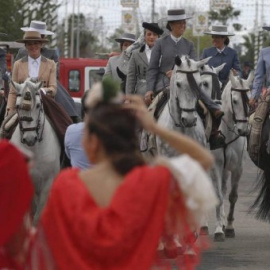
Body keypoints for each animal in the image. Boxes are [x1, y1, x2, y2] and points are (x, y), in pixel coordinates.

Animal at [10, 78, 61, 224]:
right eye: (17, 106)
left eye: (38, 105)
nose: (29, 138)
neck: (34, 150)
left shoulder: (48, 183)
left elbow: (39, 215)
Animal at [199, 69, 254, 240]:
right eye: (235, 101)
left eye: (250, 100)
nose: (243, 130)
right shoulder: (216, 165)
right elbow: (217, 196)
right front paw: (218, 230)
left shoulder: (237, 168)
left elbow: (232, 196)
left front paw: (228, 226)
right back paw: (203, 226)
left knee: (223, 189)